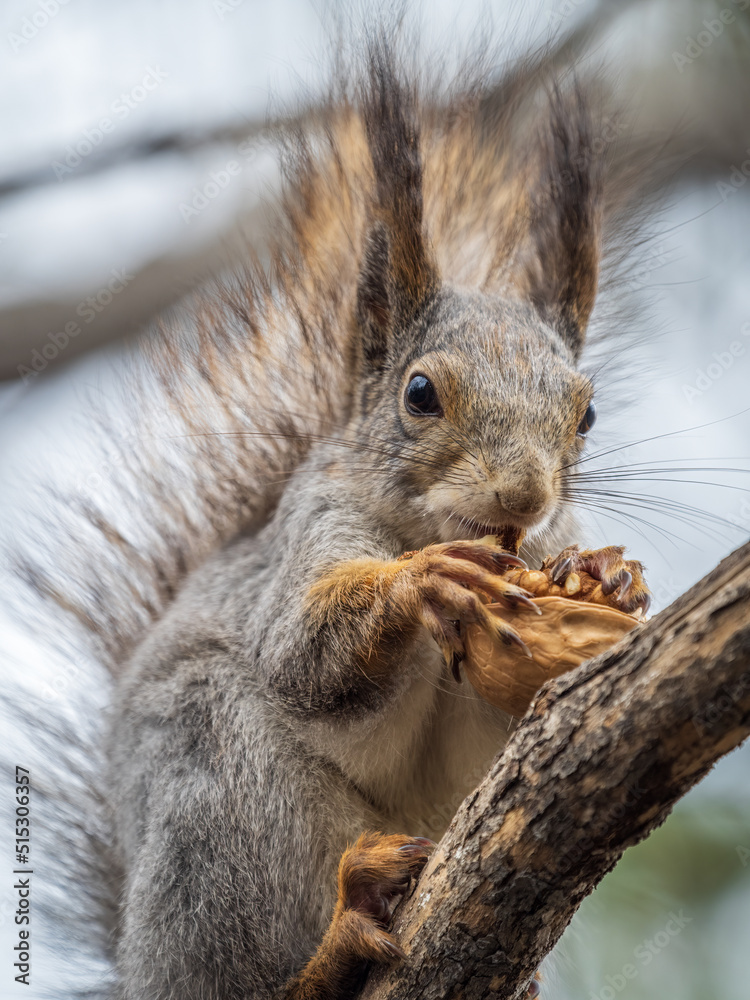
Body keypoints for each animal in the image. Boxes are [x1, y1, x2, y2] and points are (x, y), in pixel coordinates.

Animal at [11, 35, 655, 1000]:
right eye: (420, 394)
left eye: (586, 414)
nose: (523, 497)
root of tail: (135, 963)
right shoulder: (312, 530)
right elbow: (301, 648)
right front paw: (419, 582)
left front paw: (604, 575)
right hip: (216, 802)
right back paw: (337, 944)